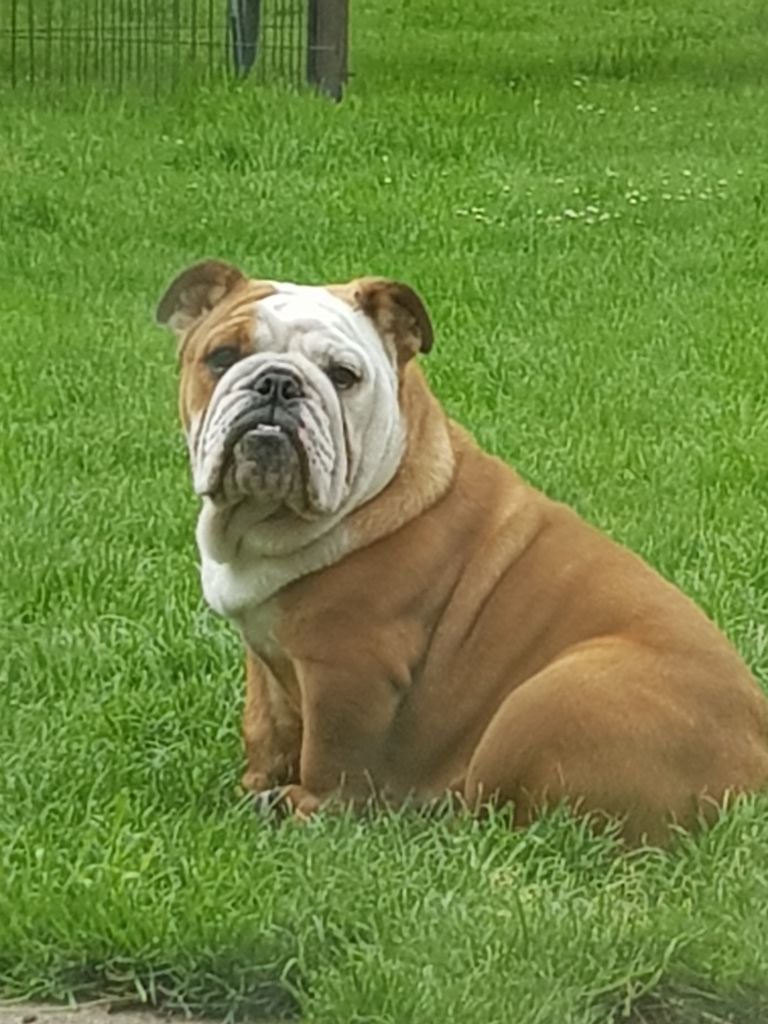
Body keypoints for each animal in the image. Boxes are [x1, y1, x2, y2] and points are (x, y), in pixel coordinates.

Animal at [156, 259, 768, 844]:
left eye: (342, 376)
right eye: (222, 356)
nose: (278, 383)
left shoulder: (347, 668)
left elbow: (331, 756)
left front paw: (309, 810)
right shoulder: (266, 654)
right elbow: (265, 725)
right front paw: (254, 783)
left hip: (542, 702)